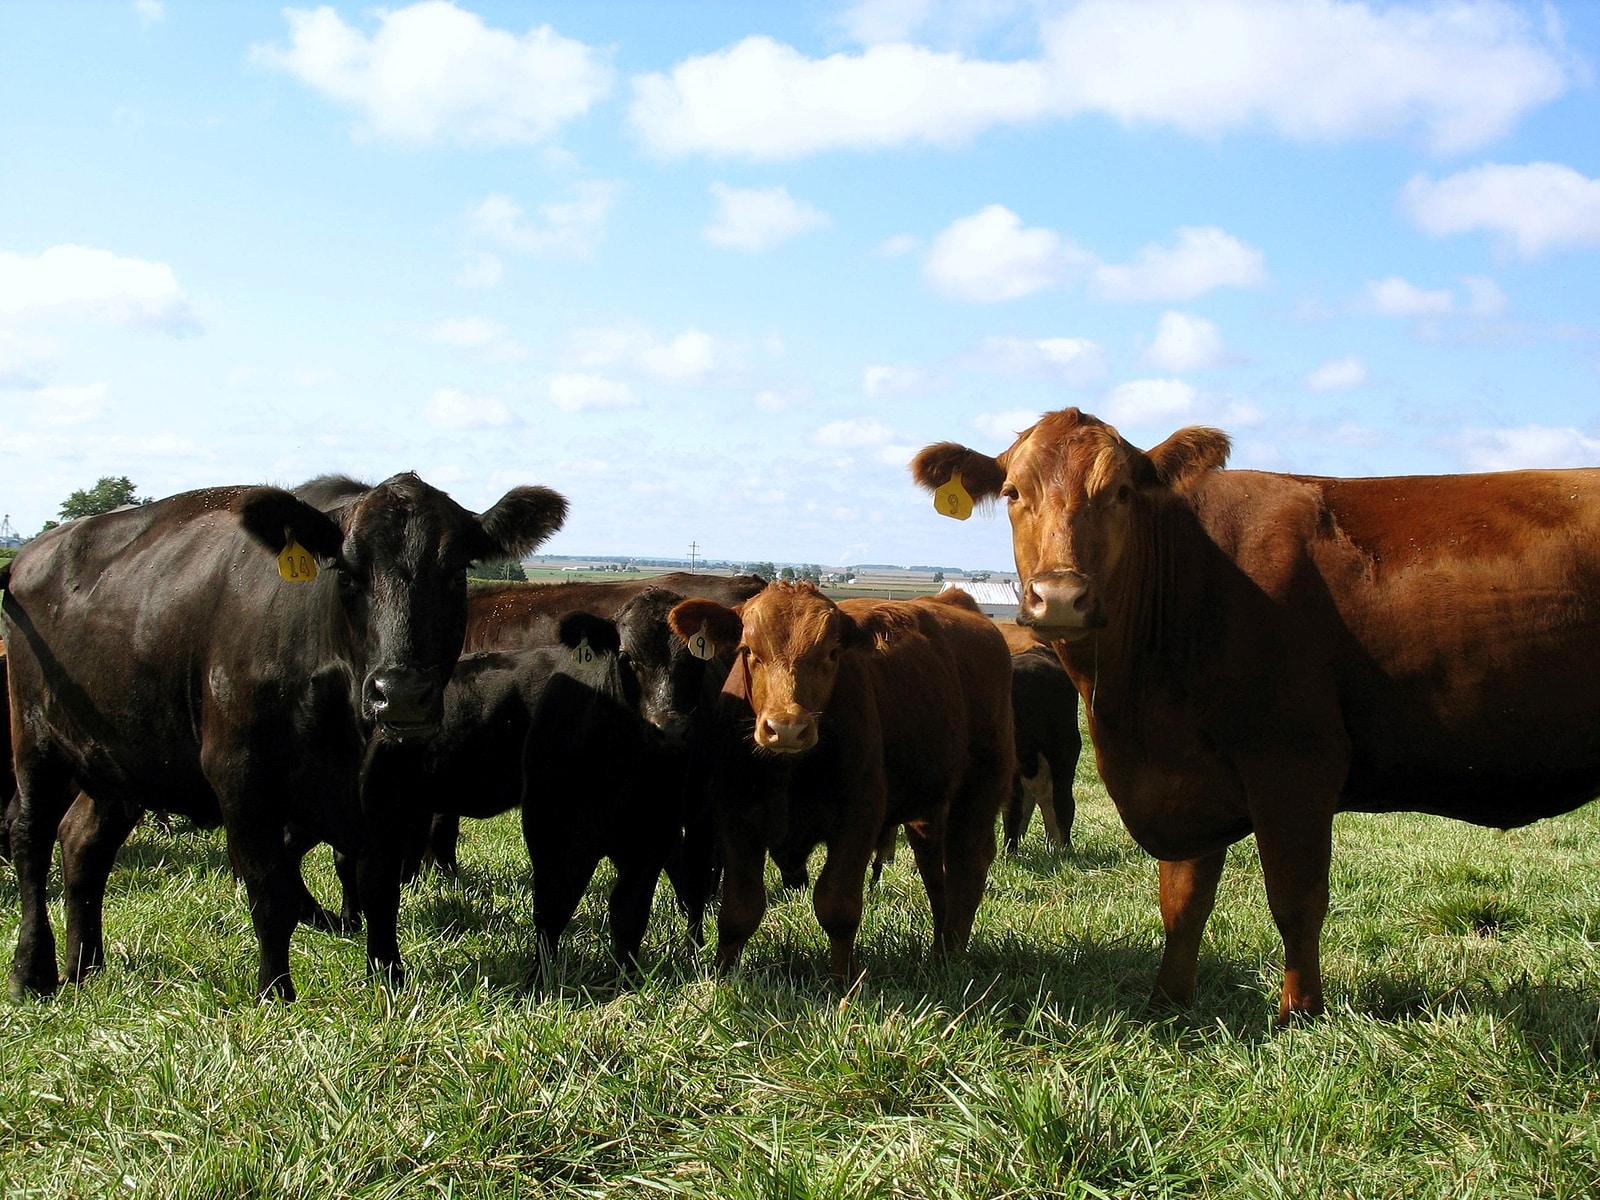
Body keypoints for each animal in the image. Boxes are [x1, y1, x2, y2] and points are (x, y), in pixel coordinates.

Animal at [0, 473, 566, 1000]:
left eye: (454, 572)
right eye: (346, 573)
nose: (401, 693)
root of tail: (32, 553)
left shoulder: (395, 781)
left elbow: (379, 885)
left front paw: (387, 978)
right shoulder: (241, 776)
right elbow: (270, 891)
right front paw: (275, 992)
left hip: (119, 763)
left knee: (82, 844)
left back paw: (84, 966)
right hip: (34, 740)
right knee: (31, 840)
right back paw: (32, 971)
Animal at [357, 586, 721, 982]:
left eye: (697, 659)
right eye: (626, 656)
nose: (670, 728)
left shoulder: (655, 830)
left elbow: (630, 912)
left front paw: (627, 979)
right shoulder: (548, 823)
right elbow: (553, 903)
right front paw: (540, 979)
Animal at [667, 583, 1014, 985]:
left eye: (832, 653)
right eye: (749, 650)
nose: (787, 727)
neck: (788, 774)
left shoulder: (860, 816)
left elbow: (837, 905)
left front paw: (842, 983)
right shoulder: (733, 816)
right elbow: (739, 910)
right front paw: (723, 977)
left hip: (982, 785)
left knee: (966, 866)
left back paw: (953, 955)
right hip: (928, 805)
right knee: (934, 867)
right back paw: (939, 951)